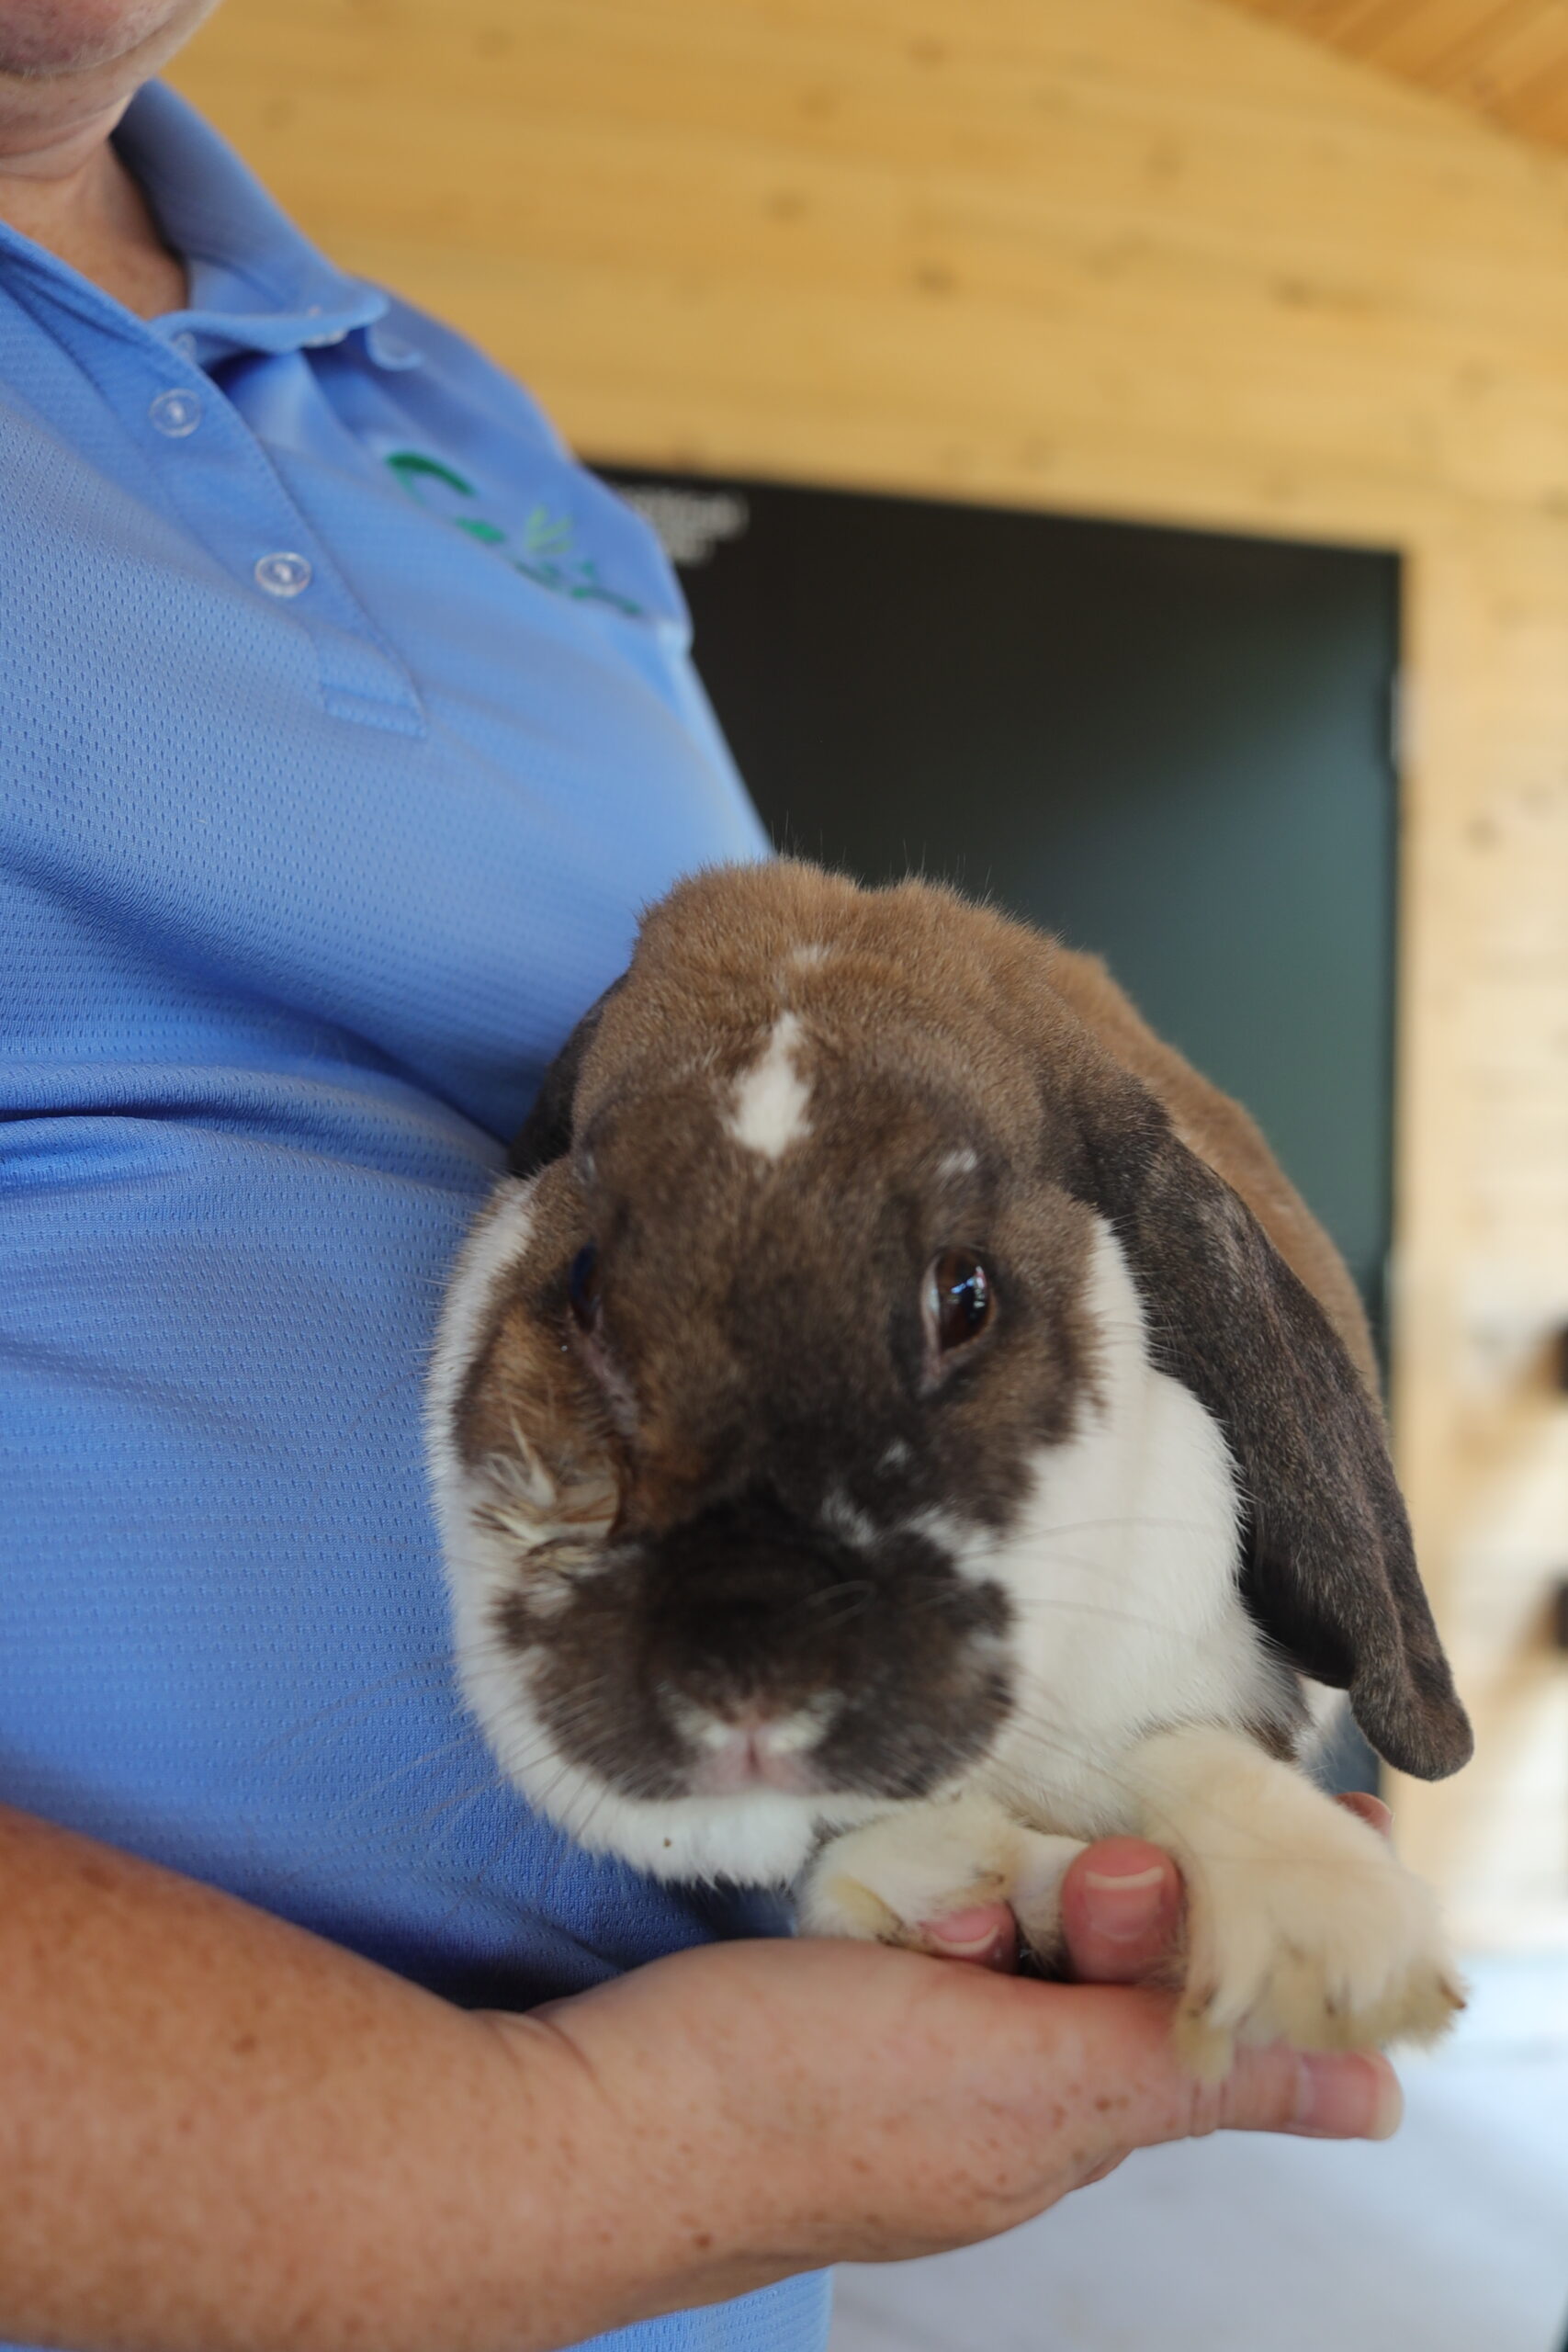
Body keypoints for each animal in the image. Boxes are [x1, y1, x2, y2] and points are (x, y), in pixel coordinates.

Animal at [426, 860, 1472, 2077]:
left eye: (964, 1293)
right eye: (586, 1282)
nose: (747, 1682)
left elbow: (1180, 1760)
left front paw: (1338, 1950)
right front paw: (968, 1880)